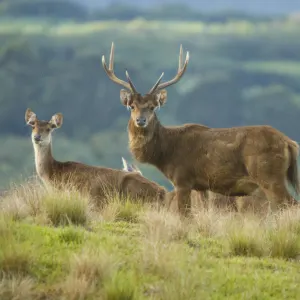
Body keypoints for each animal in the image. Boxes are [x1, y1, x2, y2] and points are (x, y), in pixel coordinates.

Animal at [102, 41, 298, 216]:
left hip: (268, 175)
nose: (140, 120)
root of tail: (289, 142)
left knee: (290, 204)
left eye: (152, 107)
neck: (166, 153)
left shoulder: (182, 179)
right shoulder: (201, 186)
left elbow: (184, 214)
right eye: (132, 106)